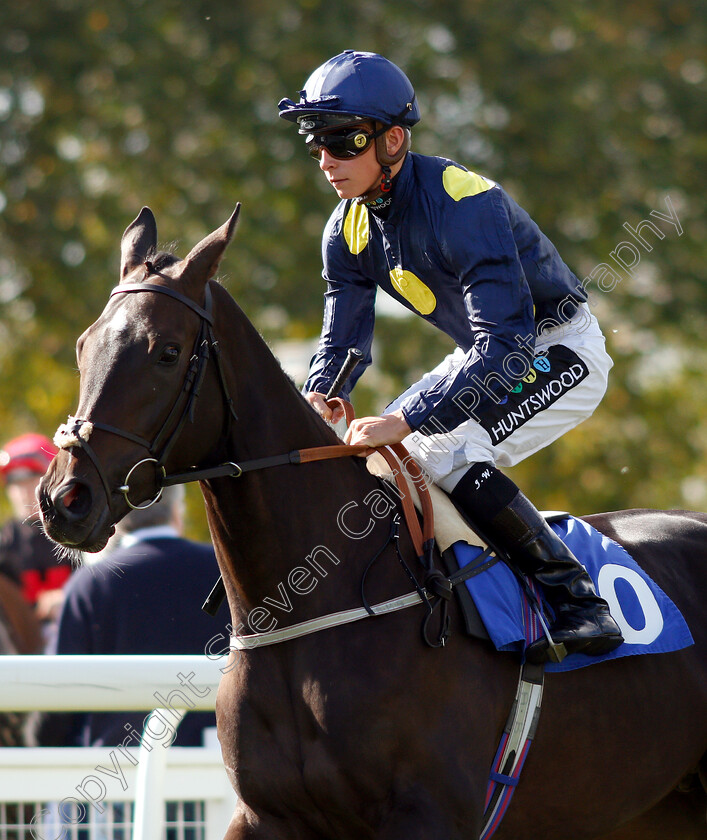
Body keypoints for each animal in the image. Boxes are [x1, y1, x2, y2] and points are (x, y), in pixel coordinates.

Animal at [40, 205, 707, 840]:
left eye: (166, 352)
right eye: (83, 346)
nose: (65, 499)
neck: (313, 603)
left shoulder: (428, 816)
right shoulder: (264, 816)